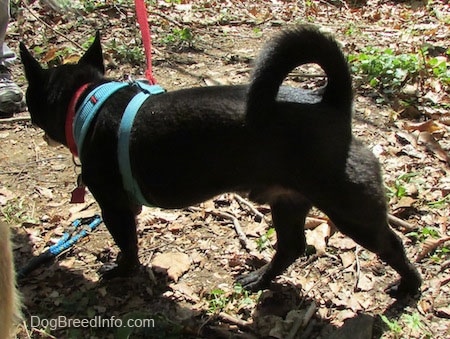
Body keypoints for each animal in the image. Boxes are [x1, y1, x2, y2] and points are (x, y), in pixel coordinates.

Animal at [19, 25, 422, 298]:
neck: (87, 98)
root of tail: (332, 104)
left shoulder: (115, 208)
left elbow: (128, 248)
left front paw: (120, 271)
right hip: (288, 202)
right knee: (291, 247)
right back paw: (260, 279)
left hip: (350, 210)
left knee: (392, 245)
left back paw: (408, 286)